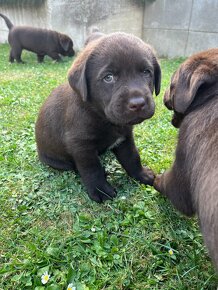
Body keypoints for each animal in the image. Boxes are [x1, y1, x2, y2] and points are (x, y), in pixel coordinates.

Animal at [35, 32, 161, 202]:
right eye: (109, 77)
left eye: (146, 72)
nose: (138, 104)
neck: (104, 118)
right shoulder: (81, 146)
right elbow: (92, 169)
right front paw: (100, 190)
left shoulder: (125, 138)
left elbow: (132, 157)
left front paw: (141, 175)